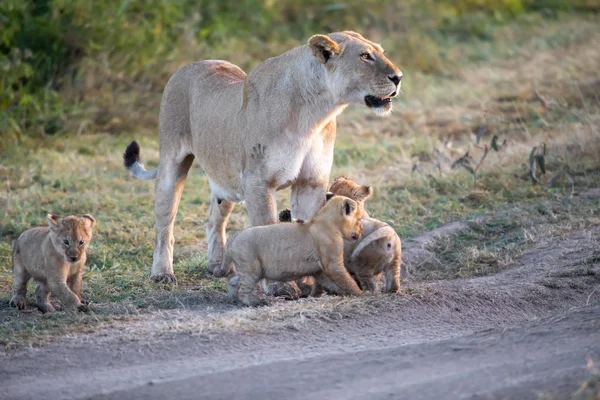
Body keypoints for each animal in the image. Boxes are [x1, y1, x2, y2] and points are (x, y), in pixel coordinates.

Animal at [122, 30, 404, 282]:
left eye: (381, 52)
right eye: (365, 56)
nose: (399, 77)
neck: (315, 113)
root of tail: (188, 66)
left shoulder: (311, 182)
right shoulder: (259, 183)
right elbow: (268, 230)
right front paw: (283, 287)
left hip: (227, 181)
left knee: (214, 219)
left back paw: (218, 267)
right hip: (172, 163)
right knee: (164, 224)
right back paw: (162, 273)